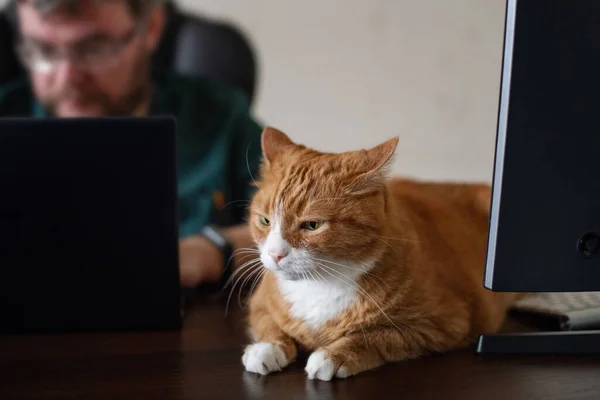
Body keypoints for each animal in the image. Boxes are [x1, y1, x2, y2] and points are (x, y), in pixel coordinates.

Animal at [241, 126, 516, 380]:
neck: (320, 286)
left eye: (312, 225)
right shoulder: (259, 303)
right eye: (265, 221)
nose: (275, 254)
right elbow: (269, 324)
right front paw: (266, 348)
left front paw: (333, 355)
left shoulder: (443, 323)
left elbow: (379, 336)